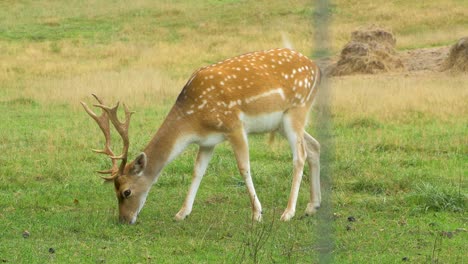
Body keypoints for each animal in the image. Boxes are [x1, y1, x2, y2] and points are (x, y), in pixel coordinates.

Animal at [81, 48, 322, 224]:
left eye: (126, 192)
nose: (124, 220)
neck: (194, 120)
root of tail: (316, 68)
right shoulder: (208, 141)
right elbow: (197, 171)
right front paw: (181, 213)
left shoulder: (234, 126)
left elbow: (244, 168)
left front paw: (257, 213)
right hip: (282, 122)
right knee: (314, 146)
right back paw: (312, 206)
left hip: (296, 110)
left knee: (299, 156)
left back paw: (288, 212)